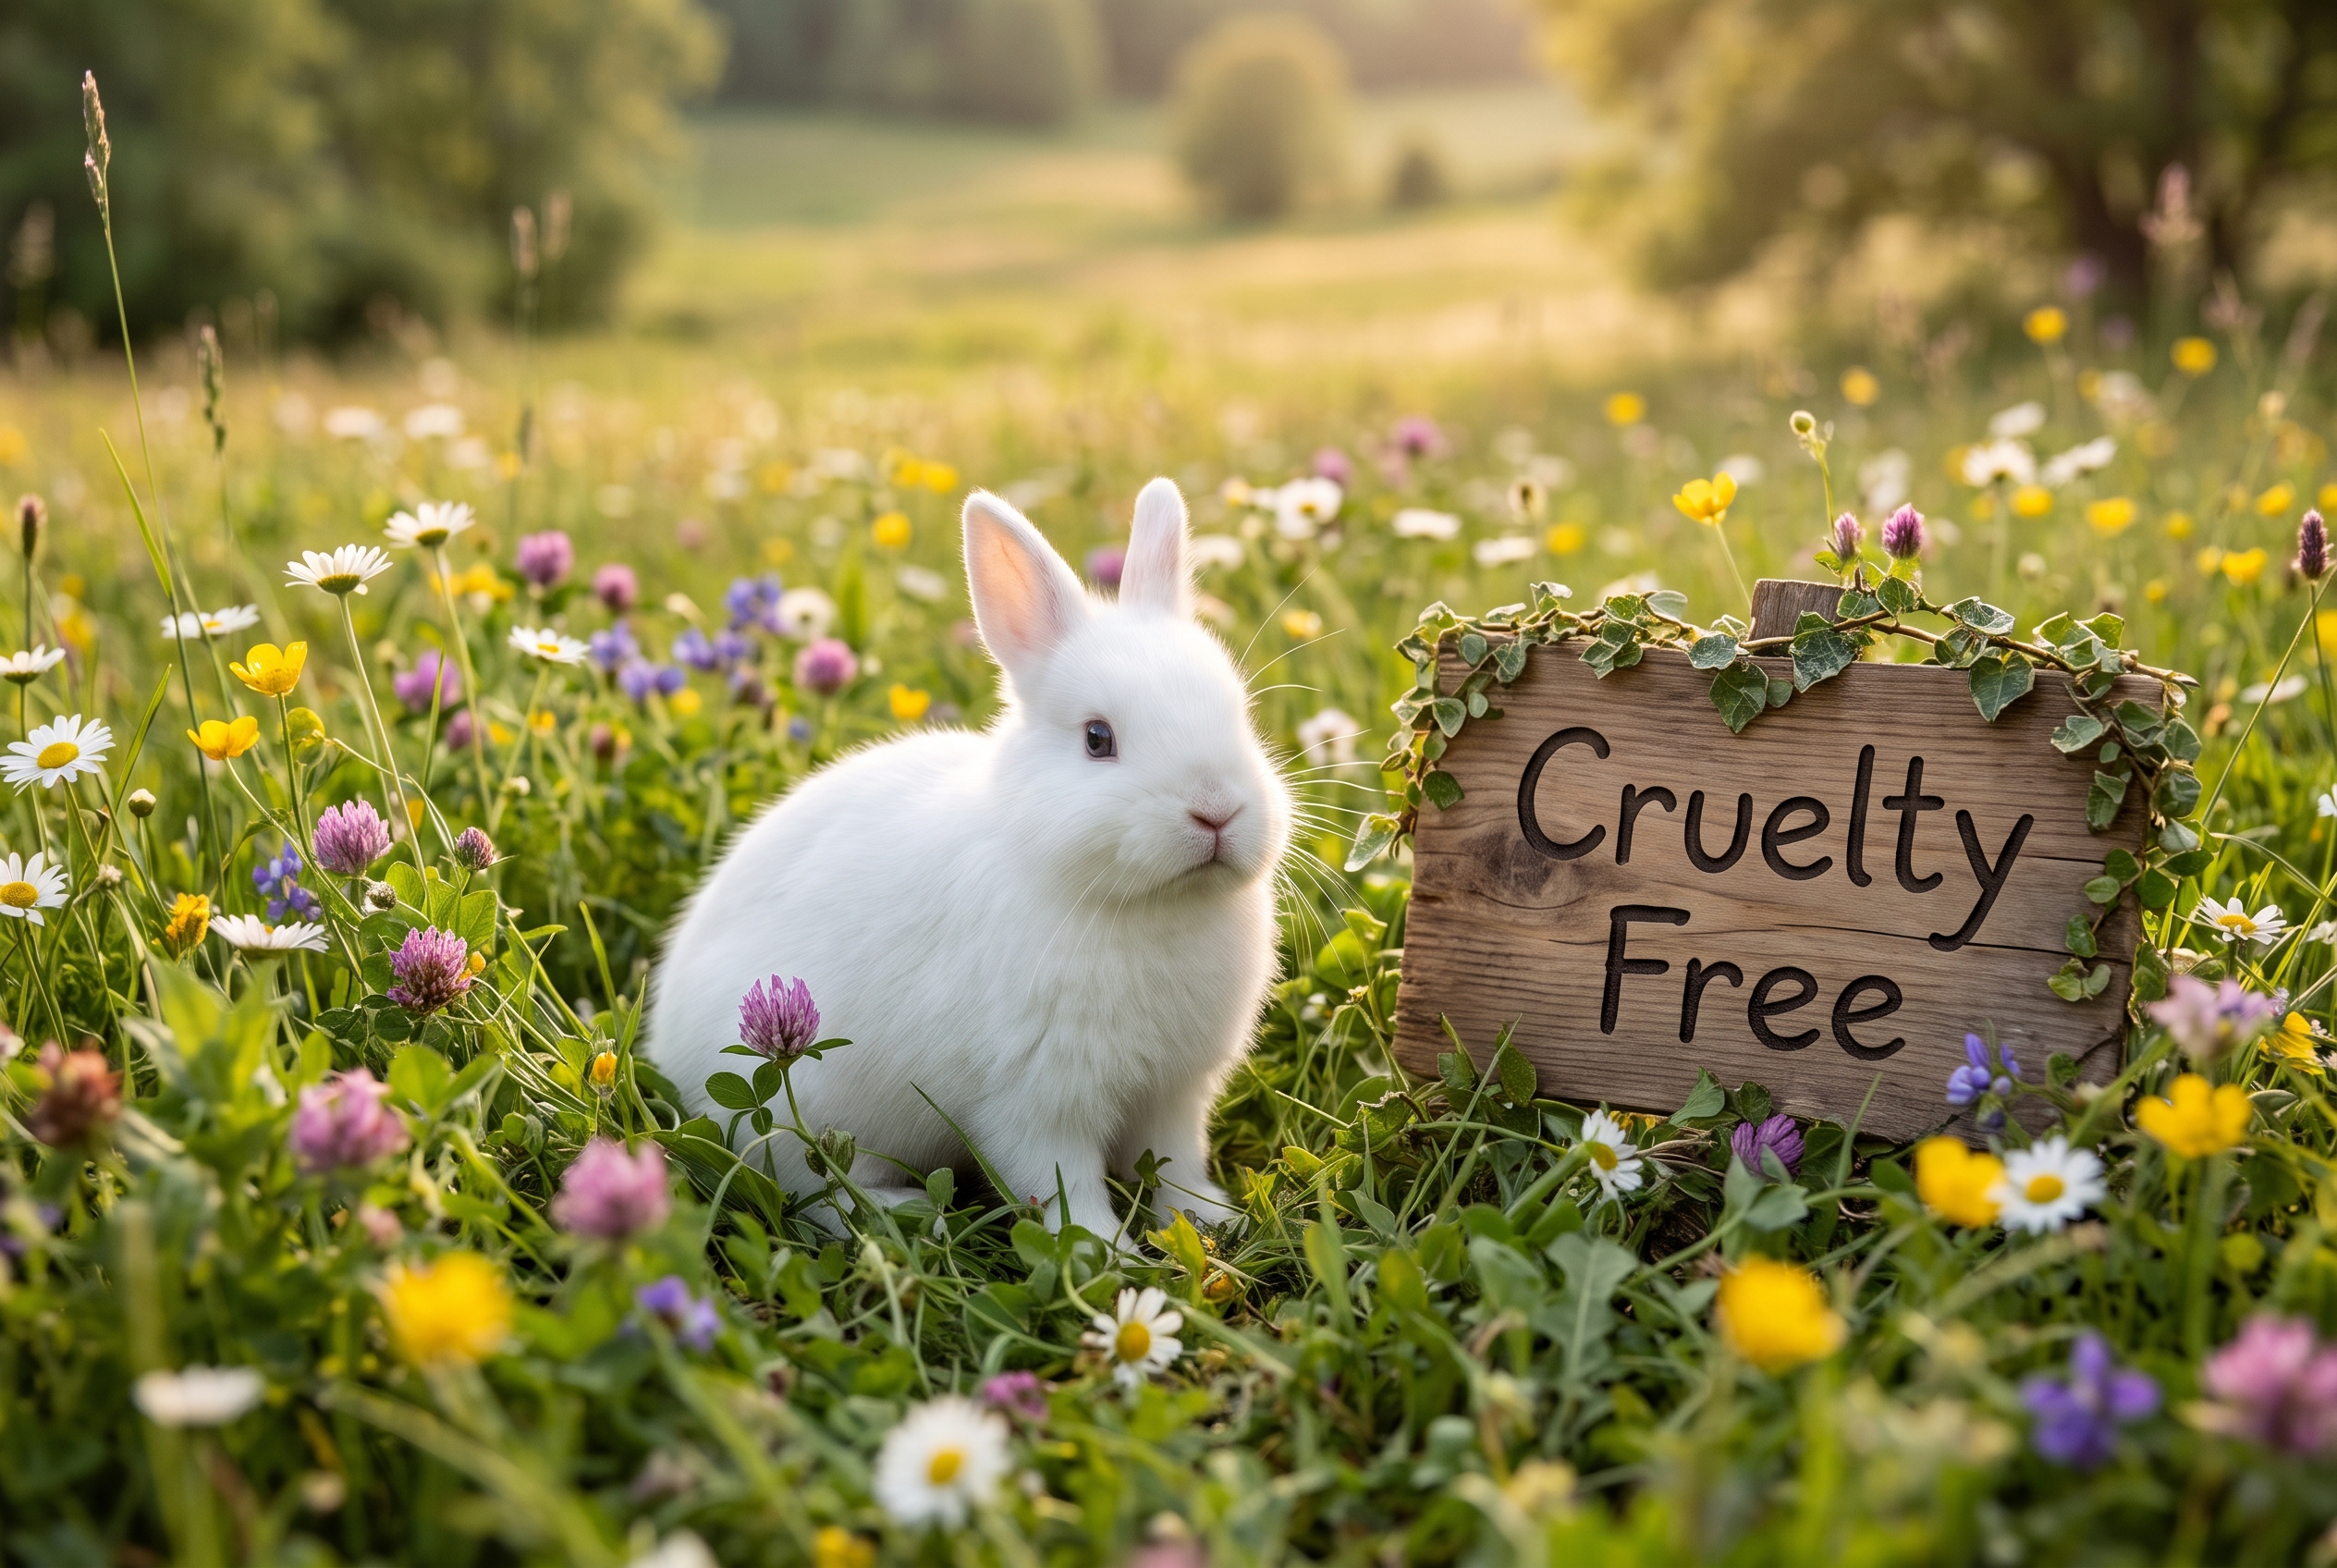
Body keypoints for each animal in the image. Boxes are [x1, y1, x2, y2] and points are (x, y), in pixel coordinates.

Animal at [647, 477, 1291, 1240]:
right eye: (1098, 738)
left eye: (1241, 715)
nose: (1216, 809)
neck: (1151, 904)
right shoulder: (1034, 1100)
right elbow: (1063, 1185)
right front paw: (1108, 1253)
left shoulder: (1176, 1094)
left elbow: (1175, 1165)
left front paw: (1210, 1222)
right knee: (814, 1187)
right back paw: (905, 1210)